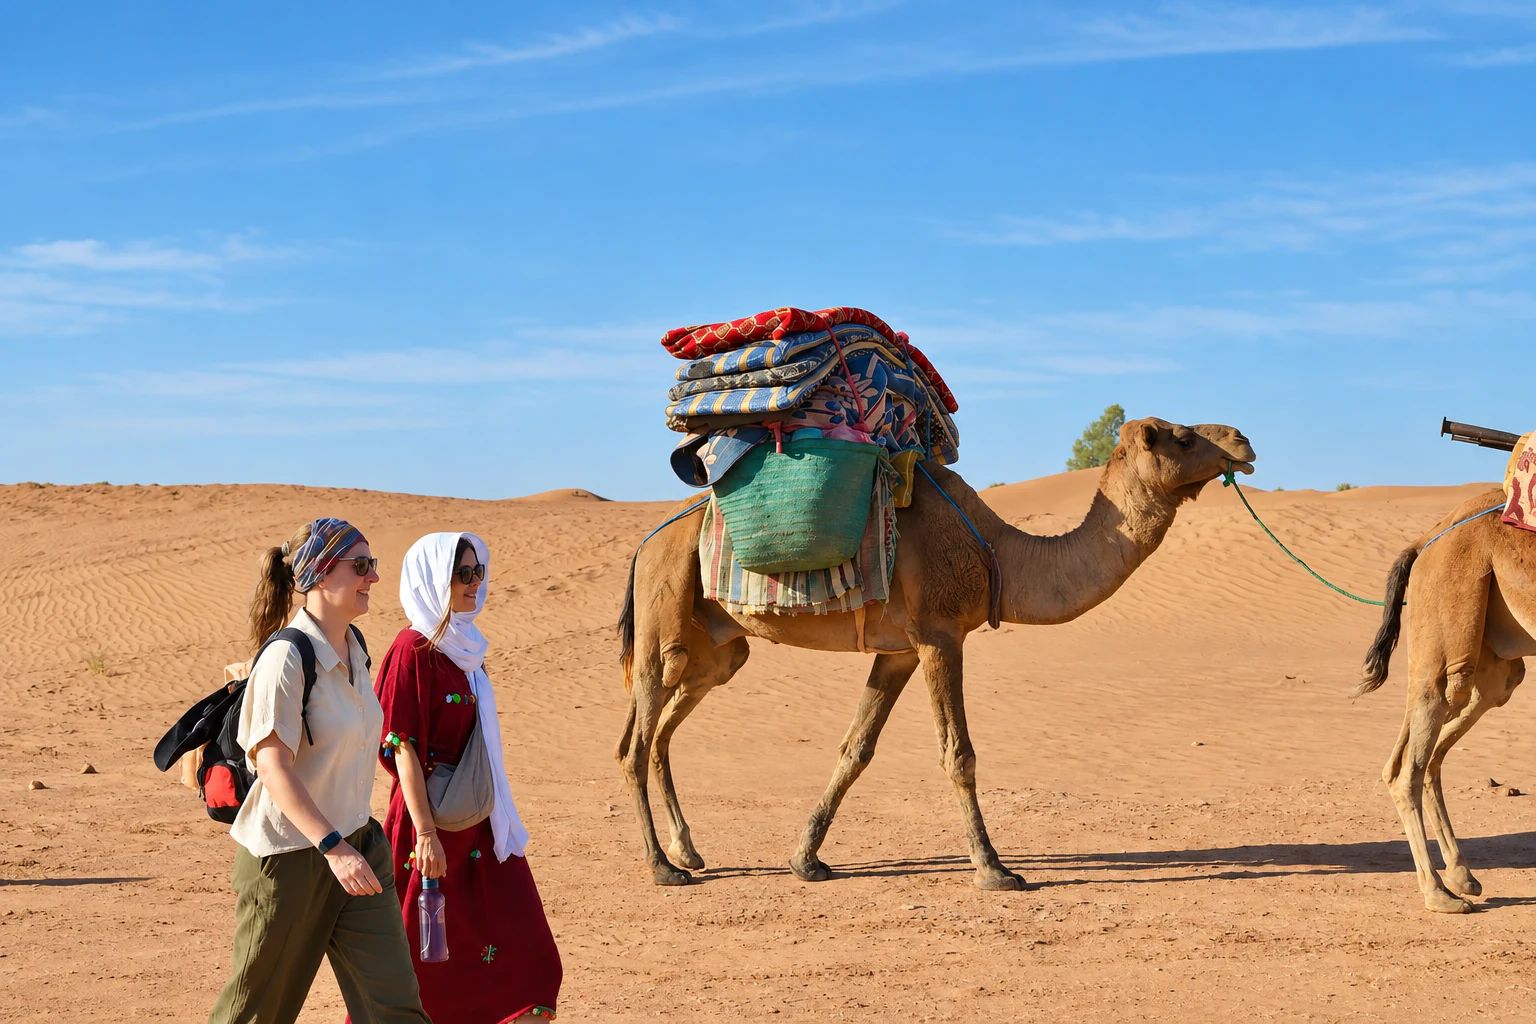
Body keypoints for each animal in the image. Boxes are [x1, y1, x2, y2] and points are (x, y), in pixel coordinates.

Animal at [615, 417, 1256, 889]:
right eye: (1181, 436)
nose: (1243, 441)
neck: (999, 551)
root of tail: (645, 545)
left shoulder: (899, 650)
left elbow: (856, 749)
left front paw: (806, 860)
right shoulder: (940, 635)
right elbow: (959, 754)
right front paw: (994, 870)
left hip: (718, 651)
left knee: (660, 733)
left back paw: (688, 850)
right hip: (663, 610)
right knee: (635, 742)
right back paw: (663, 868)